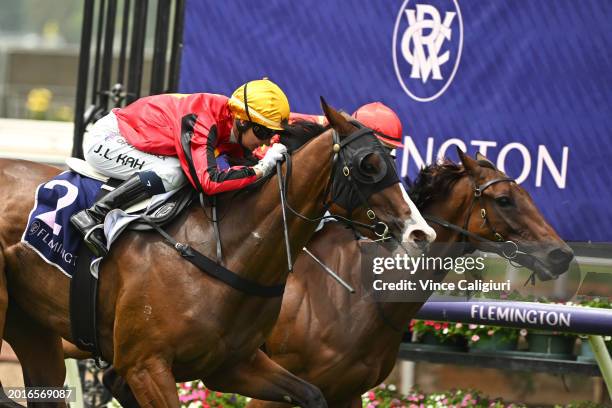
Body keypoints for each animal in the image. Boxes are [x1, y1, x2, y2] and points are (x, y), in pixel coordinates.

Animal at [0, 99, 436, 408]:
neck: (225, 253)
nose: (421, 232)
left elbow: (311, 395)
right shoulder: (146, 366)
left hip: (32, 326)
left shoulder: (233, 365)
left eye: (392, 159)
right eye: (368, 164)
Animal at [246, 149, 572, 408]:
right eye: (504, 200)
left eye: (527, 196)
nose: (561, 254)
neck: (359, 297)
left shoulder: (347, 394)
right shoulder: (271, 389)